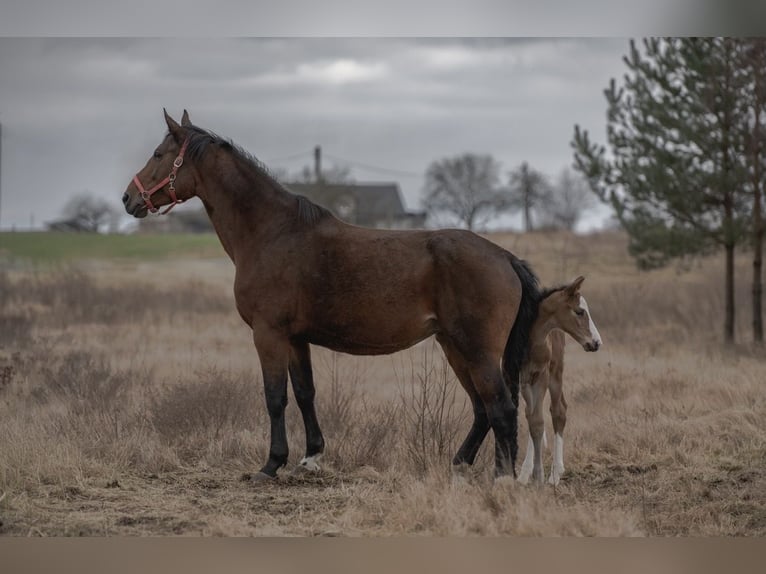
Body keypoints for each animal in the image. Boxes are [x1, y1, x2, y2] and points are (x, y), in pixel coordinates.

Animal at [123, 109, 540, 483]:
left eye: (158, 154)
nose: (129, 199)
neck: (273, 232)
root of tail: (505, 257)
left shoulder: (268, 334)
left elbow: (275, 397)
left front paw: (271, 465)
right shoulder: (295, 339)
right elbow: (305, 393)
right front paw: (310, 459)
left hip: (476, 350)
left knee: (501, 409)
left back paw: (501, 478)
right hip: (453, 345)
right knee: (482, 409)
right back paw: (459, 465)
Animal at [516, 276, 602, 487]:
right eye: (579, 311)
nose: (597, 342)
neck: (531, 338)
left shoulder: (542, 375)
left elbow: (538, 418)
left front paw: (540, 476)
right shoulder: (519, 378)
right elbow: (531, 417)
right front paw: (526, 473)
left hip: (556, 372)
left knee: (558, 411)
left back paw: (555, 473)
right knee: (532, 413)